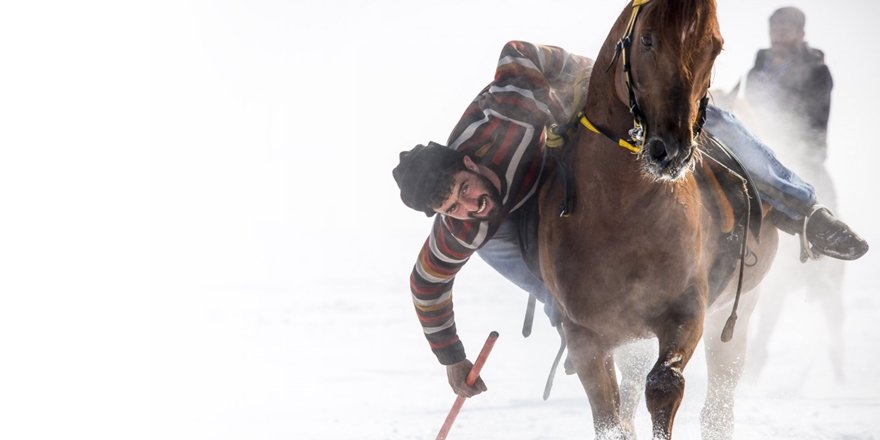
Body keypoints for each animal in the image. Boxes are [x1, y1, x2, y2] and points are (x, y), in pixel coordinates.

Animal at [536, 0, 776, 440]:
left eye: (715, 47)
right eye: (647, 39)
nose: (672, 150)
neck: (620, 212)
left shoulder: (686, 310)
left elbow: (664, 383)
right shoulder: (584, 335)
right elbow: (609, 414)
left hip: (738, 308)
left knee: (721, 390)